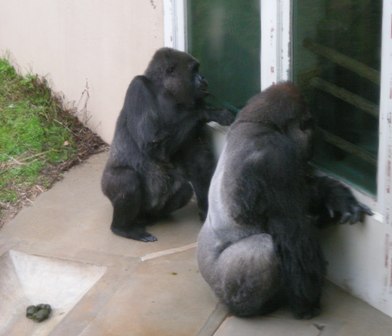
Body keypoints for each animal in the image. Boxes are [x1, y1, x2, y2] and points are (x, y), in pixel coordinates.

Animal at [102, 47, 234, 242]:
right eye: (194, 71)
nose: (203, 78)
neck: (165, 91)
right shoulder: (138, 88)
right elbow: (153, 145)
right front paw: (208, 112)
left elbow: (199, 163)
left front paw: (206, 210)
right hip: (107, 188)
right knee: (127, 180)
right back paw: (122, 228)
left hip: (148, 209)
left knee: (183, 190)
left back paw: (152, 217)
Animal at [198, 82, 372, 318]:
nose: (314, 140)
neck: (257, 123)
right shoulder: (275, 158)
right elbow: (293, 231)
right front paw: (308, 303)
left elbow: (304, 194)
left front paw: (335, 196)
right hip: (222, 285)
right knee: (264, 249)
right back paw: (254, 307)